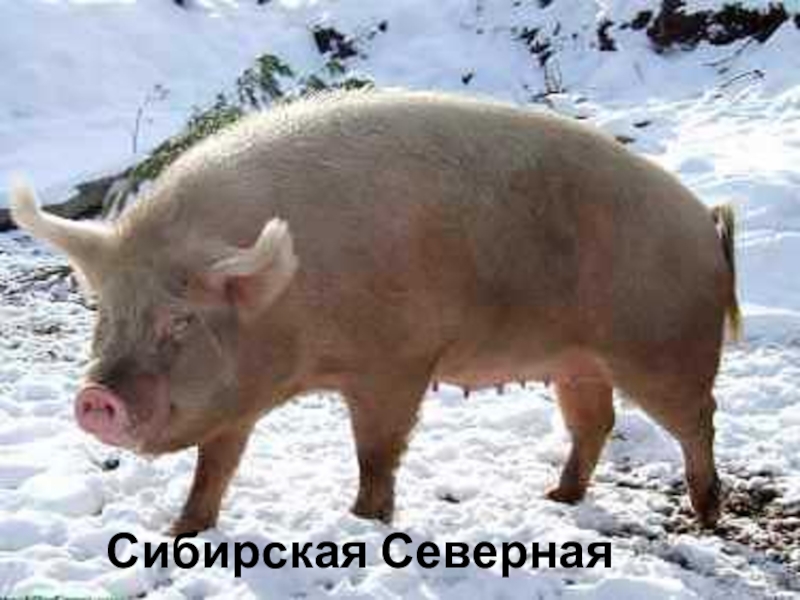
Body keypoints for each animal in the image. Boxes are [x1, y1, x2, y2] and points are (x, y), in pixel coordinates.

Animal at [10, 90, 740, 535]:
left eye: (181, 320)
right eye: (106, 312)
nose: (95, 398)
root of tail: (703, 219)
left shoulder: (397, 363)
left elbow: (376, 453)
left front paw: (365, 521)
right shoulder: (239, 396)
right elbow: (215, 464)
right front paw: (181, 530)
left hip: (667, 347)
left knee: (698, 419)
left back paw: (706, 515)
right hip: (577, 362)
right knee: (596, 422)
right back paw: (556, 498)